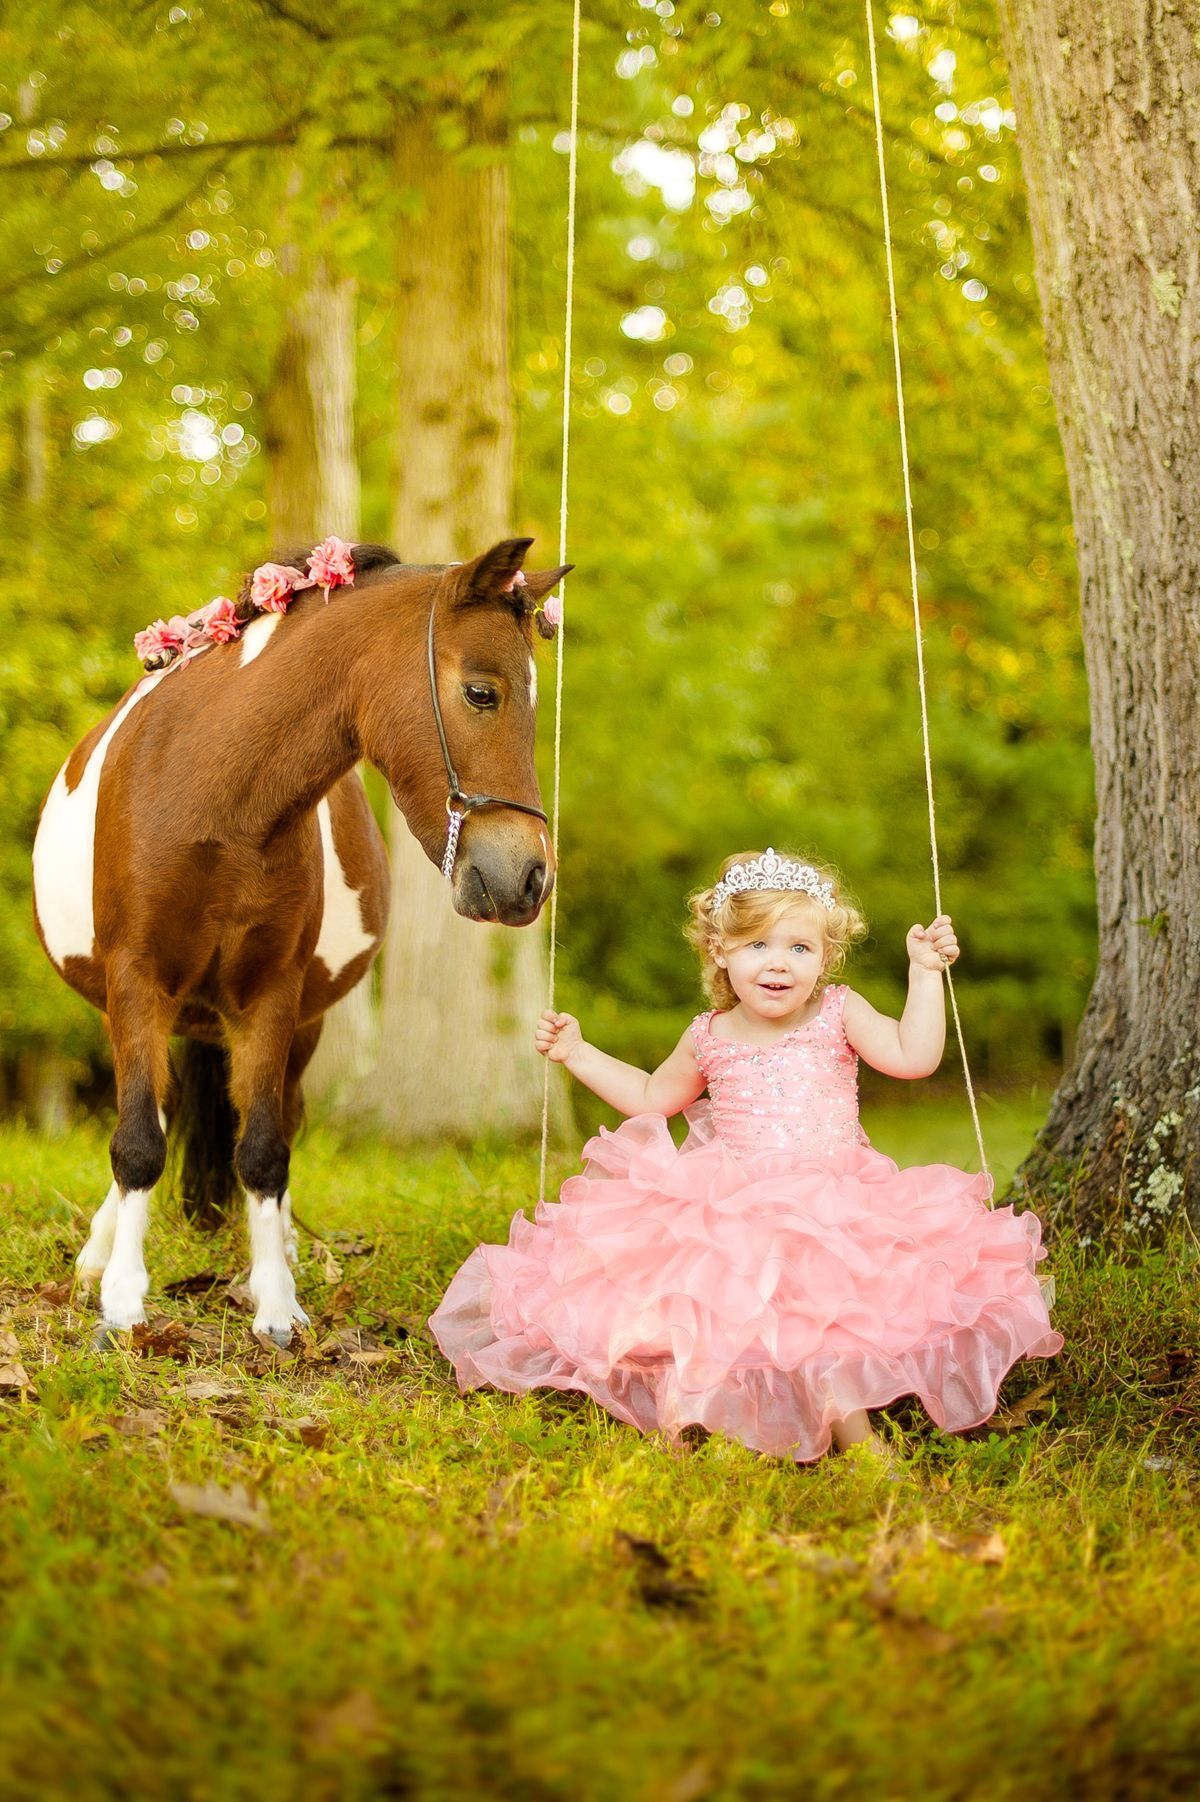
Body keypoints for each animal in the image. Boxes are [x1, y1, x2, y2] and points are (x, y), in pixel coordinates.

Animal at [32, 536, 566, 1346]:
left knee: (275, 1116)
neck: (210, 794)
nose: (529, 879)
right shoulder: (136, 982)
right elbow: (138, 1141)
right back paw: (100, 1254)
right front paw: (122, 1304)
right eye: (482, 693)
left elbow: (262, 1149)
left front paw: (276, 1304)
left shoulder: (272, 996)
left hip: (300, 1025)